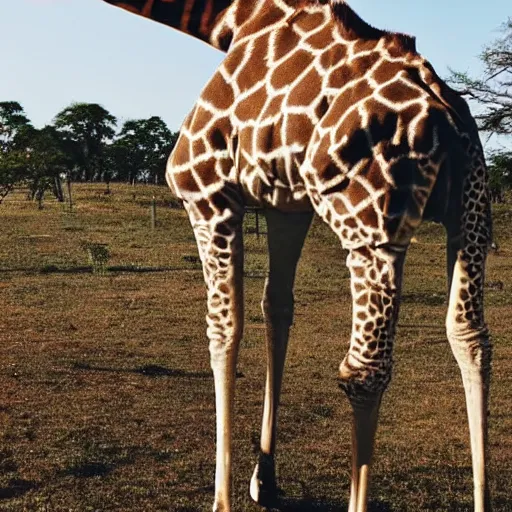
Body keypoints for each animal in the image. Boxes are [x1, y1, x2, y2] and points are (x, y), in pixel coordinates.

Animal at [101, 1, 492, 512]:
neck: (229, 23)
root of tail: (449, 120)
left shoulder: (205, 191)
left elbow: (223, 332)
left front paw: (223, 498)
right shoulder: (286, 202)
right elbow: (277, 307)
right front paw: (263, 479)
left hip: (371, 228)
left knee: (365, 369)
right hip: (471, 215)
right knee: (470, 337)